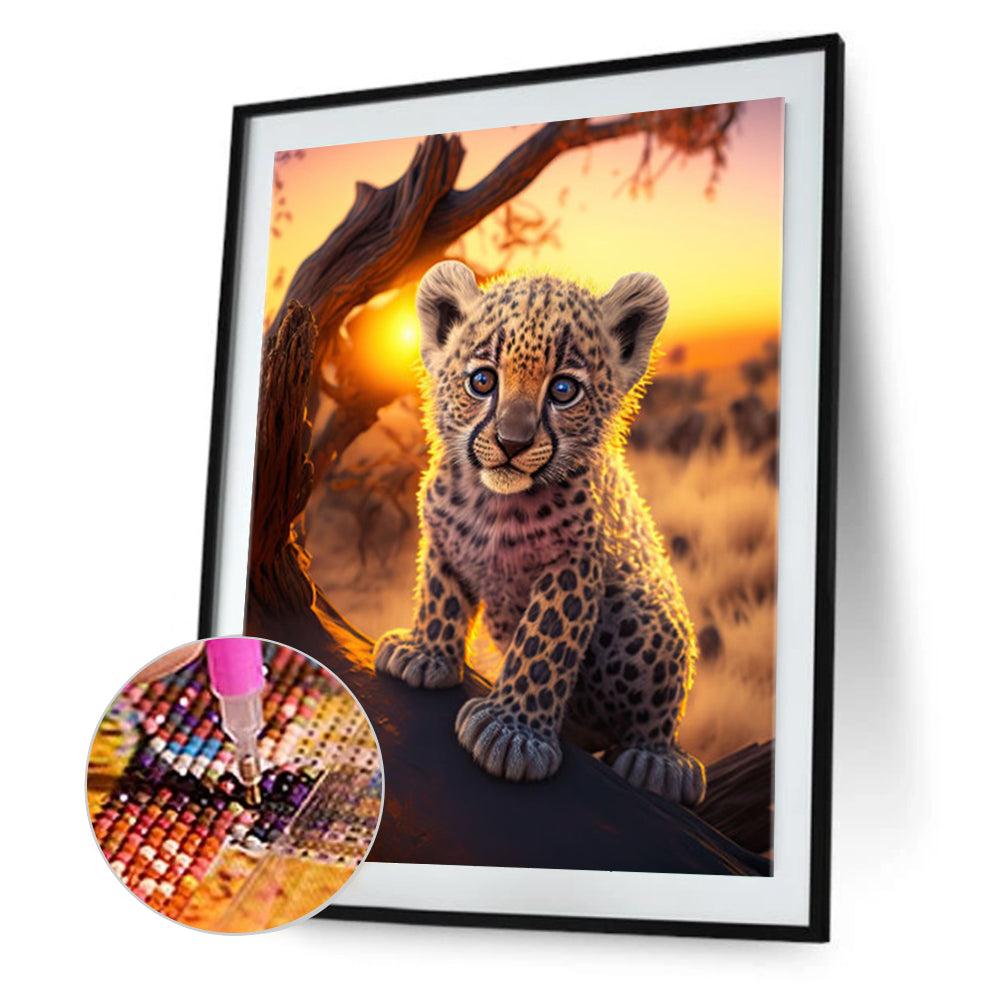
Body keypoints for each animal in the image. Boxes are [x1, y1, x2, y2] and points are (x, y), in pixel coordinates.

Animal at [373, 260, 706, 806]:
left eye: (563, 390)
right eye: (482, 381)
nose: (512, 442)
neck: (494, 506)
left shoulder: (573, 566)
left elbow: (544, 644)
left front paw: (513, 735)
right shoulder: (443, 536)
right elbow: (440, 595)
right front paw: (423, 654)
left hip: (646, 614)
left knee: (658, 708)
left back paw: (659, 763)